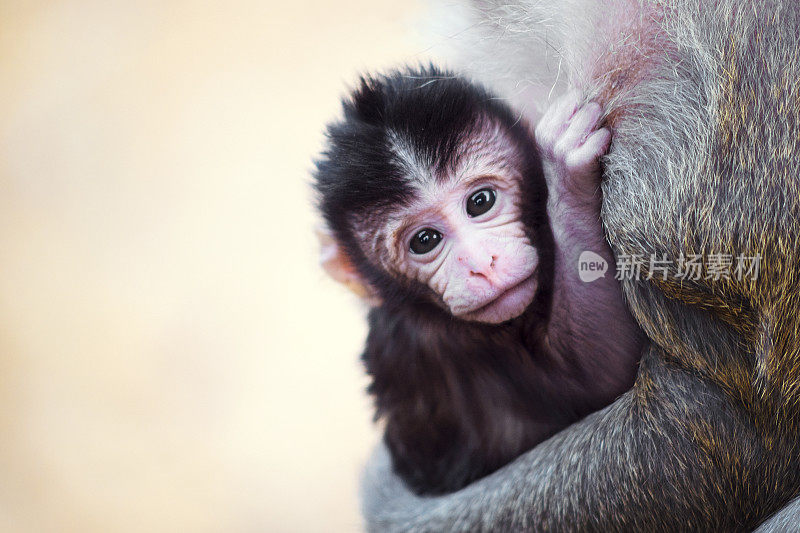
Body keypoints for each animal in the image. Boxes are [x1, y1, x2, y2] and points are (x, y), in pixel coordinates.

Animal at [312, 66, 644, 494]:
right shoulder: (424, 344)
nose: (482, 264)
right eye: (424, 241)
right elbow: (604, 377)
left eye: (480, 202)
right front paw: (565, 176)